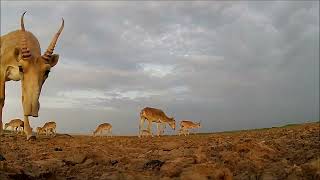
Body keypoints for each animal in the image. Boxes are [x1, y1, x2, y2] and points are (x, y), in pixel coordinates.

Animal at [0, 11, 64, 140]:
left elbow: (23, 99)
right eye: (21, 67)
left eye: (47, 71)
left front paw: (29, 133)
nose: (32, 110)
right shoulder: (2, 71)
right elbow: (1, 99)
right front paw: (0, 131)